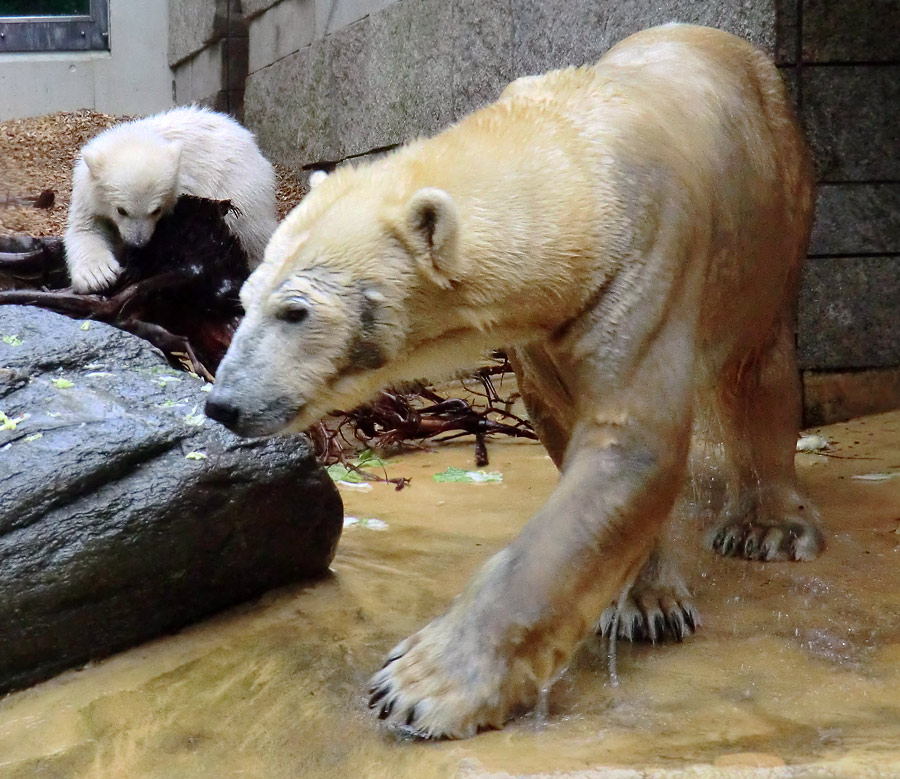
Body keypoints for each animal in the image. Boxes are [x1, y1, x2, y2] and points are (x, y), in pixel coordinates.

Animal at [207, 25, 820, 736]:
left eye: (296, 311)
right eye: (245, 298)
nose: (222, 404)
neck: (582, 160)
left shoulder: (648, 259)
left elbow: (631, 443)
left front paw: (419, 686)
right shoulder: (544, 327)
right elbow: (569, 427)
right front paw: (642, 598)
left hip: (772, 214)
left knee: (758, 359)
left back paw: (766, 525)